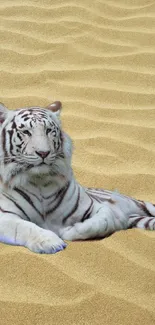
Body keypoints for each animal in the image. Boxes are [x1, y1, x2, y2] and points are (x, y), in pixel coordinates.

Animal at [0, 101, 154, 253]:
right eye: (26, 132)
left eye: (49, 130)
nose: (43, 153)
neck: (40, 180)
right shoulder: (5, 216)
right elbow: (25, 227)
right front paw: (51, 242)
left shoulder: (95, 206)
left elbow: (103, 220)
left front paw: (68, 231)